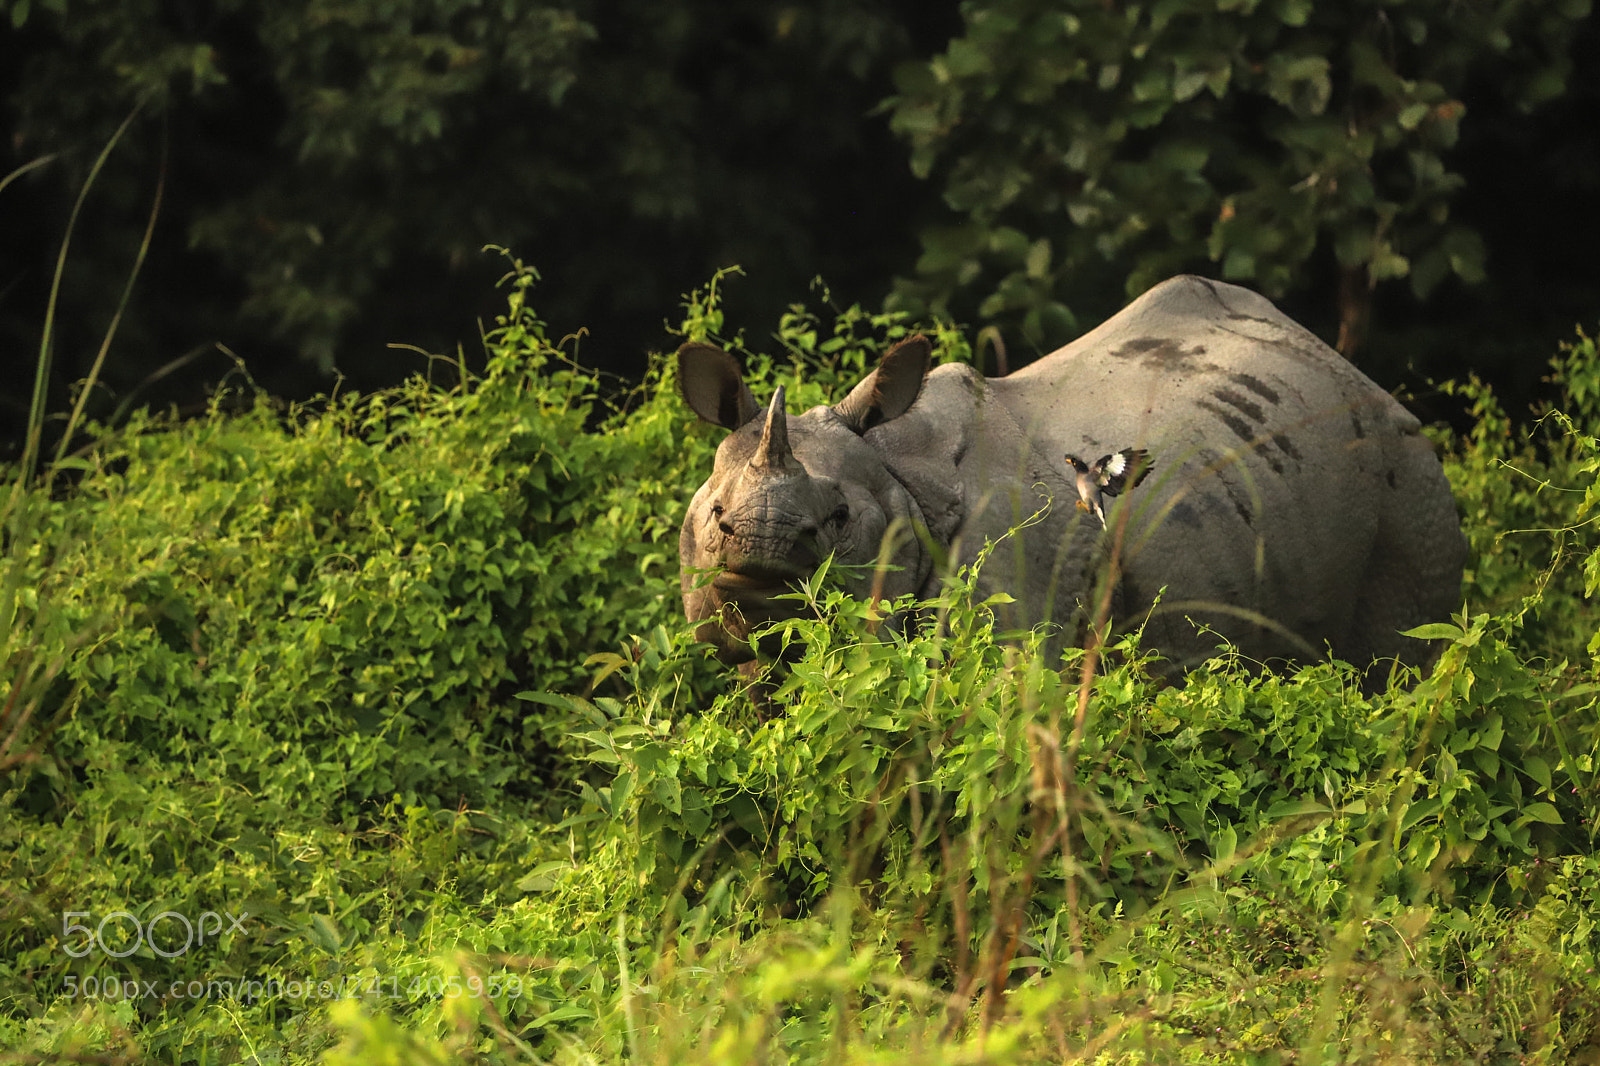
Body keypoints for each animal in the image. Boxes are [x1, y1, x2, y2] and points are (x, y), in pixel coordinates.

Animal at [676, 275, 1466, 677]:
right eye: (714, 516)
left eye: (838, 521)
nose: (759, 551)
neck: (906, 480)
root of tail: (1349, 369)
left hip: (1408, 471)